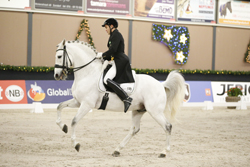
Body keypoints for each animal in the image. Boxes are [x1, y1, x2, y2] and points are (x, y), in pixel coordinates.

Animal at [54, 39, 186, 158]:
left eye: (59, 56)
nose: (56, 75)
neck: (88, 73)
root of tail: (161, 84)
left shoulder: (86, 104)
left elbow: (74, 121)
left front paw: (76, 145)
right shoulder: (78, 102)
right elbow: (59, 106)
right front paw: (63, 127)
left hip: (155, 111)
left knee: (167, 126)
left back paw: (164, 152)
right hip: (138, 110)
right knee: (134, 129)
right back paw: (117, 150)